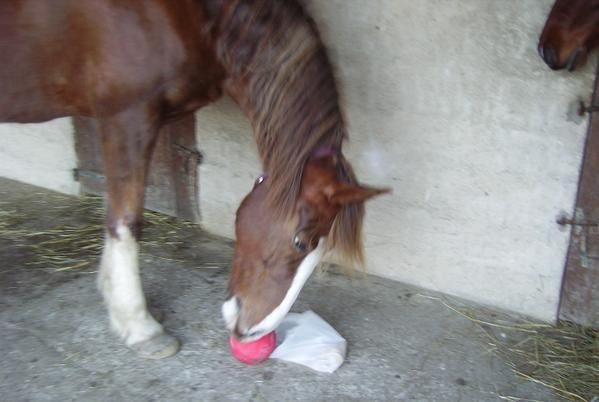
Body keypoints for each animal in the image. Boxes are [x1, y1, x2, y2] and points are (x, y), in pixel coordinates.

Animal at [0, 0, 390, 358]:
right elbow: (125, 221)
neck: (192, 16)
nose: (251, 332)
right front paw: (139, 325)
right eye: (301, 242)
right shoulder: (127, 117)